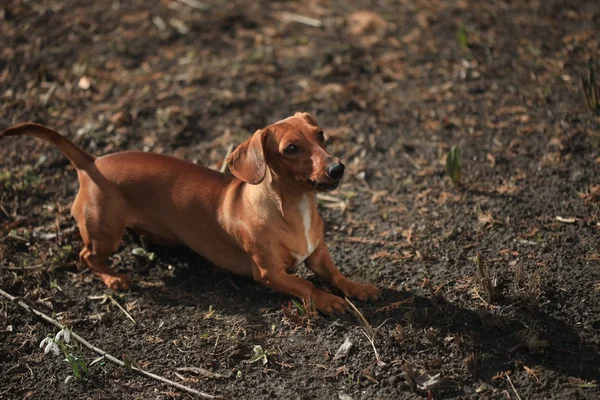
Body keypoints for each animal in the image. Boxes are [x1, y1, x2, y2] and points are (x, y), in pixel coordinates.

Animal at [2, 113, 380, 316]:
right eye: (290, 149)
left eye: (321, 135)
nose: (337, 168)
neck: (294, 207)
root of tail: (91, 164)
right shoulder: (269, 274)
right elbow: (305, 284)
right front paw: (327, 300)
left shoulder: (318, 254)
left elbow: (335, 274)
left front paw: (356, 288)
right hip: (105, 232)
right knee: (87, 255)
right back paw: (113, 279)